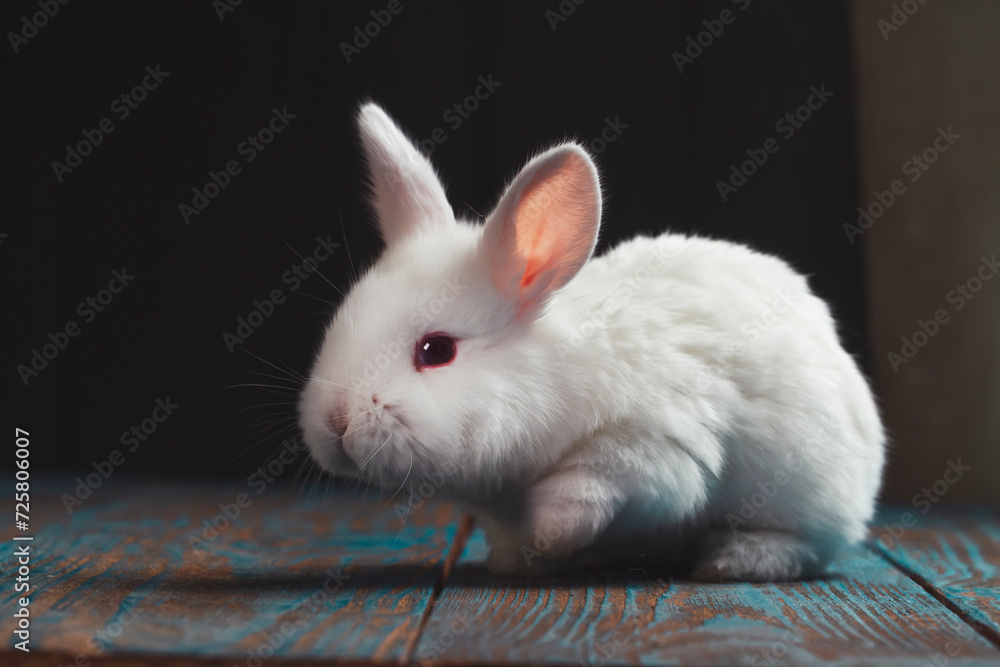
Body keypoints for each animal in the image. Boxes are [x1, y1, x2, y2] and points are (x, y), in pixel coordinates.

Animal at [298, 102, 886, 581]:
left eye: (436, 350)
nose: (336, 423)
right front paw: (516, 561)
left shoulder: (652, 446)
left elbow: (588, 487)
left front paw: (548, 536)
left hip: (808, 493)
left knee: (804, 545)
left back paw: (734, 560)